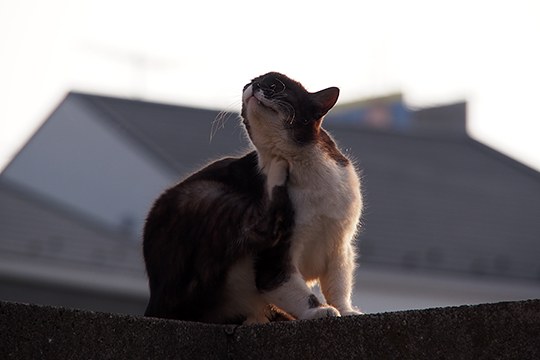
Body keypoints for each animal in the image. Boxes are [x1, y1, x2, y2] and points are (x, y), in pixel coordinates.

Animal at [143, 71, 362, 324]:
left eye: (275, 86)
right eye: (249, 84)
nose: (253, 86)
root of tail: (155, 299)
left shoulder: (340, 245)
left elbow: (338, 284)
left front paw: (346, 311)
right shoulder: (275, 258)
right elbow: (281, 283)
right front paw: (318, 311)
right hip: (207, 194)